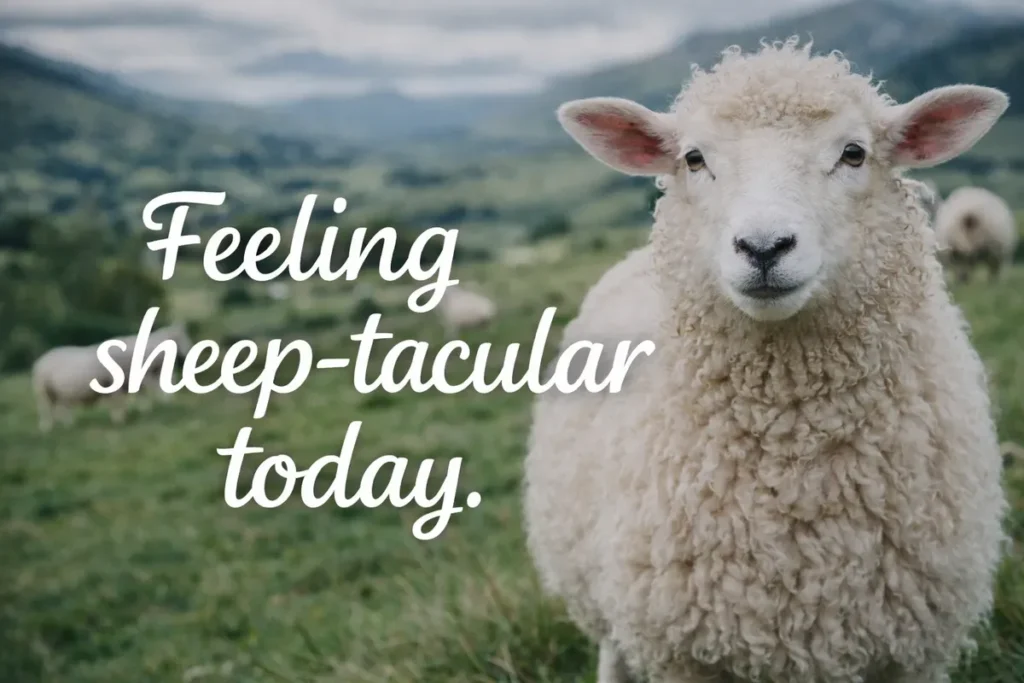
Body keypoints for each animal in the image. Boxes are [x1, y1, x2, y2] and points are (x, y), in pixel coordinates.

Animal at [32, 322, 192, 432]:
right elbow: (123, 402)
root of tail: (40, 361)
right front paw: (121, 420)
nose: (188, 351)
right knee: (46, 410)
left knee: (60, 409)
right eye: (183, 336)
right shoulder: (127, 382)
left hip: (57, 393)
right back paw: (47, 428)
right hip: (44, 391)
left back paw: (65, 425)